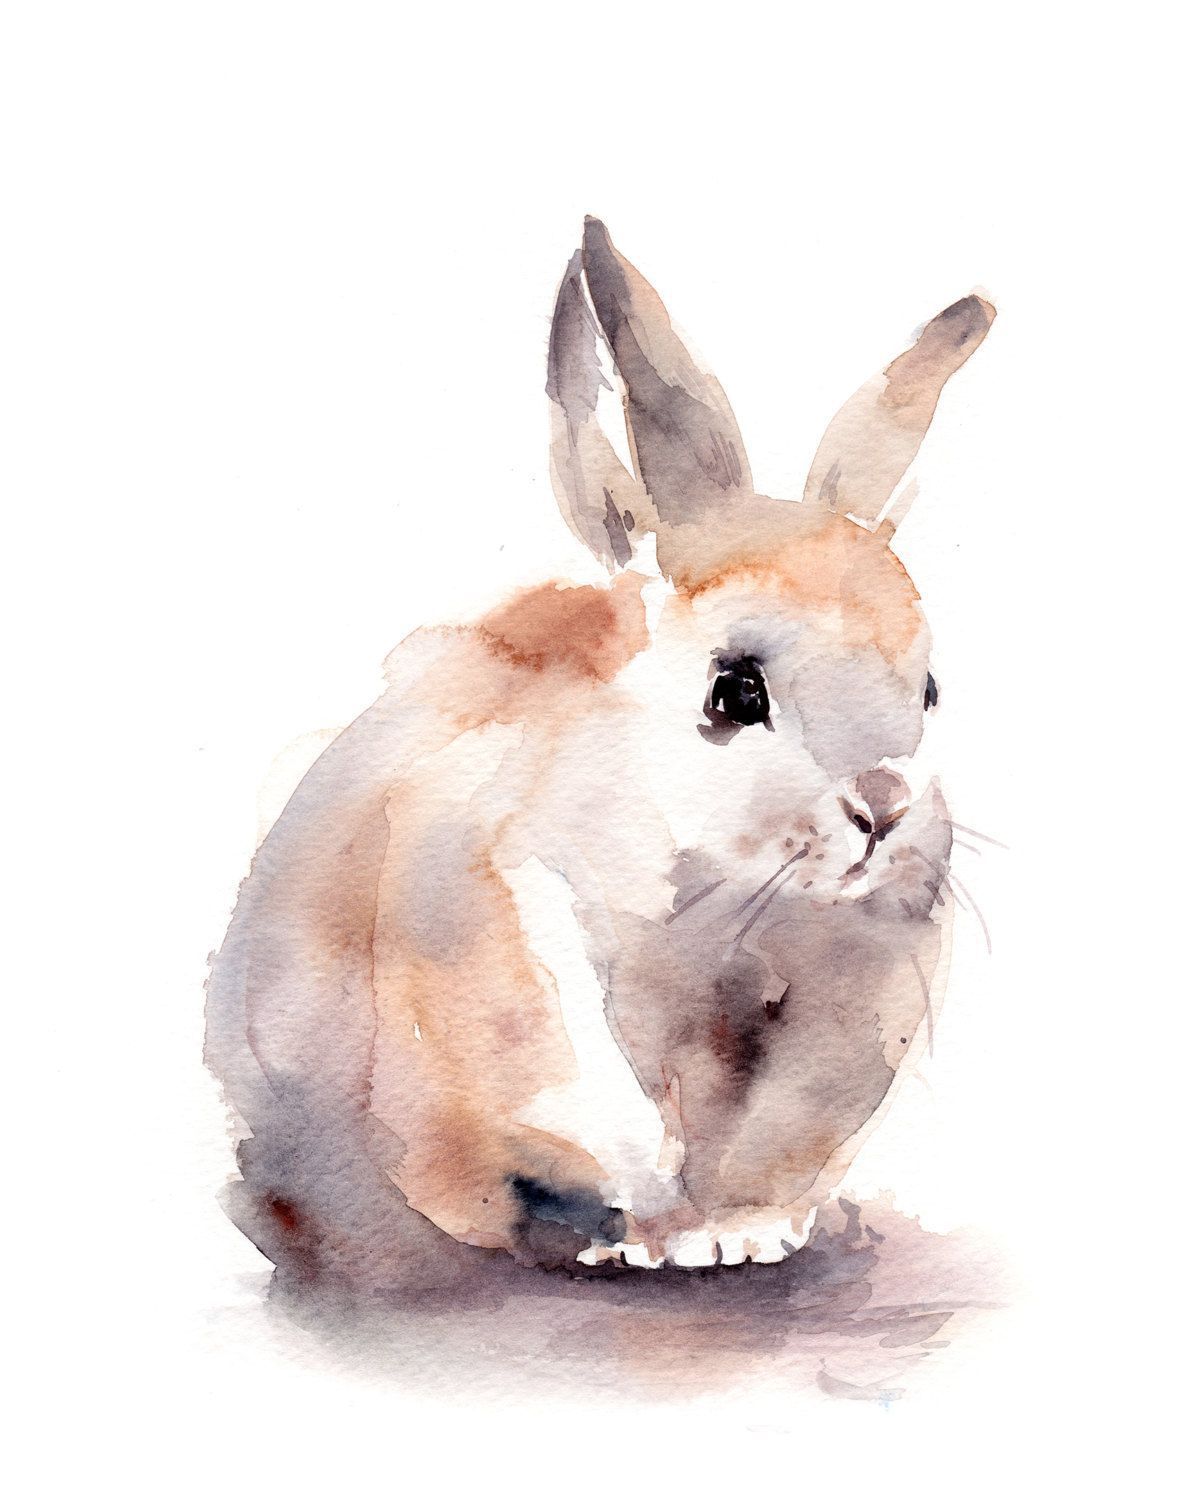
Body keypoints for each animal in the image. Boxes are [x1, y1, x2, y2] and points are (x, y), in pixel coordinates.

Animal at [205, 217, 994, 1288]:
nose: (884, 808)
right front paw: (653, 1237)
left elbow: (774, 1143)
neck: (725, 899)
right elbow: (599, 1119)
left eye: (929, 689)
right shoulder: (496, 936)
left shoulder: (850, 1016)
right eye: (735, 690)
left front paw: (740, 1235)